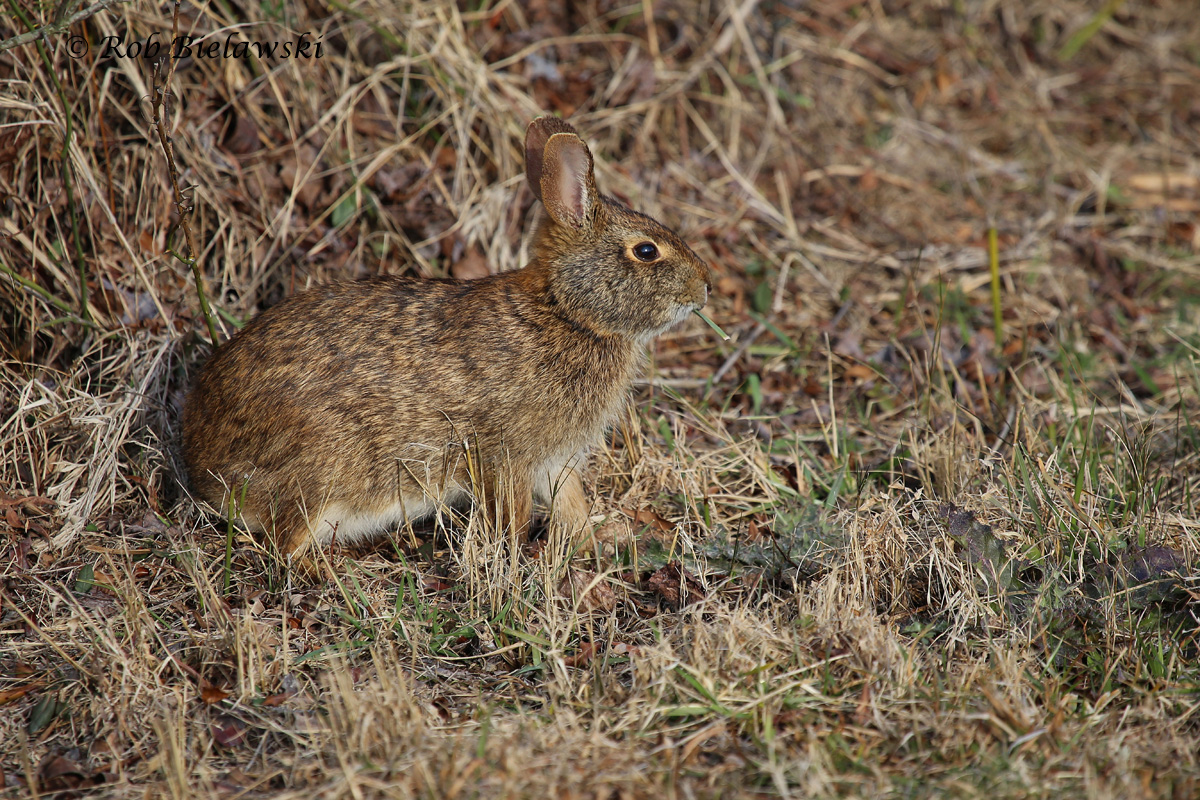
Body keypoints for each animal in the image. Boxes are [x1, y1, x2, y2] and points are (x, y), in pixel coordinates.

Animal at [182, 117, 710, 556]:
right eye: (646, 251)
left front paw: (590, 547)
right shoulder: (506, 454)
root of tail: (204, 469)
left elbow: (572, 504)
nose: (704, 287)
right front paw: (518, 557)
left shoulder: (556, 460)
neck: (565, 312)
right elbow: (514, 515)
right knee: (282, 544)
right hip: (326, 473)